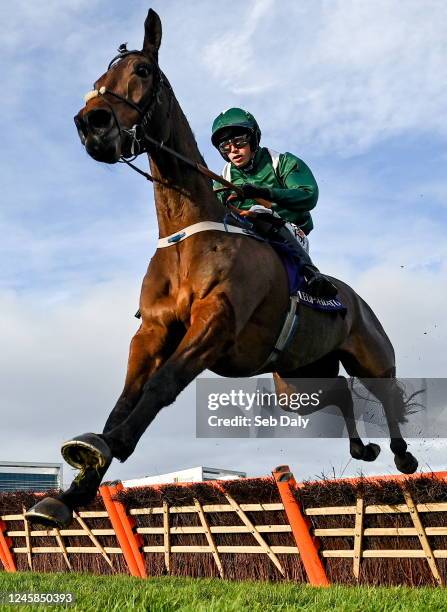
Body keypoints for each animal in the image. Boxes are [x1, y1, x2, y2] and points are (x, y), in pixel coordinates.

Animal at [26, 8, 420, 524]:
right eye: (97, 82)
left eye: (142, 71)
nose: (91, 123)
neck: (187, 234)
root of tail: (355, 298)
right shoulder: (153, 329)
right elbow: (126, 397)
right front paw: (72, 488)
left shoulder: (216, 321)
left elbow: (162, 386)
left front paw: (111, 446)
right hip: (297, 382)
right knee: (338, 393)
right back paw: (362, 449)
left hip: (371, 354)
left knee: (387, 396)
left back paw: (402, 455)